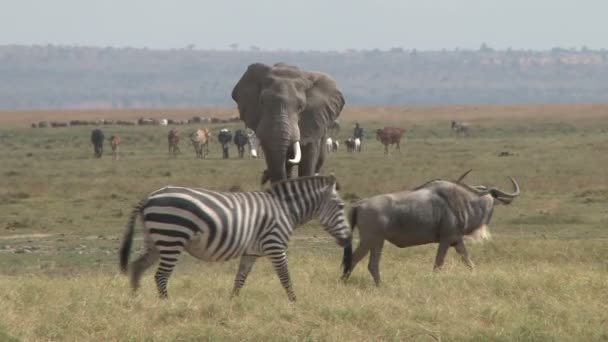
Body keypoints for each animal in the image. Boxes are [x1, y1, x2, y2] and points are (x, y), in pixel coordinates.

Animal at [119, 175, 354, 300]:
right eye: (341, 206)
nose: (347, 239)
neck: (285, 209)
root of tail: (148, 197)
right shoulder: (276, 246)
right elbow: (285, 277)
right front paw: (295, 303)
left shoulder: (251, 252)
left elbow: (240, 279)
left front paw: (232, 303)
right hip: (171, 238)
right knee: (160, 276)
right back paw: (166, 303)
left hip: (156, 240)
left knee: (137, 268)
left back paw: (136, 302)